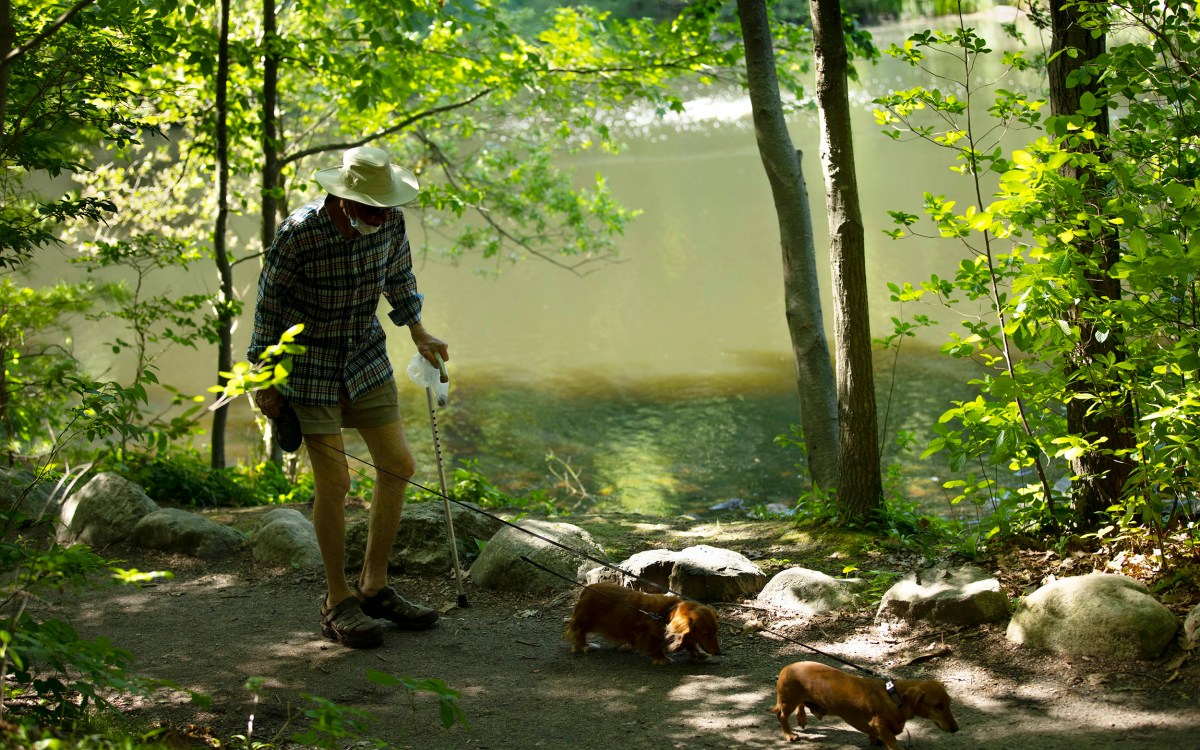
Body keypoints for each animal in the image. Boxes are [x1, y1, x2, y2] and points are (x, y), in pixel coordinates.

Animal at [564, 578, 720, 662]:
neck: (666, 613)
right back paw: (584, 646)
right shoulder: (647, 636)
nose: (719, 652)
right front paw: (662, 659)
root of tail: (588, 588)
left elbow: (690, 642)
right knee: (578, 631)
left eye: (715, 632)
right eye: (706, 633)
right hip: (586, 621)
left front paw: (699, 653)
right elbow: (655, 647)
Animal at [772, 657, 960, 744]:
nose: (956, 729)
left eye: (949, 703)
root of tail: (786, 668)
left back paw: (801, 718)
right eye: (937, 705)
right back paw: (789, 734)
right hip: (788, 701)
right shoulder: (881, 726)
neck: (893, 695)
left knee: (801, 704)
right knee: (781, 716)